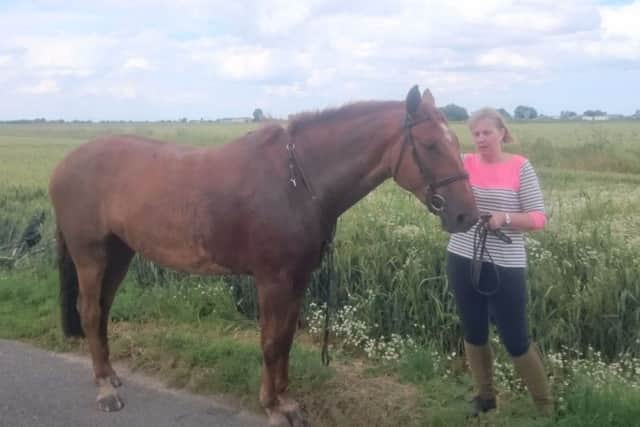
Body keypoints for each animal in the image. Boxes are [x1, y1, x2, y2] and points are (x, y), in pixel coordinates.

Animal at [49, 85, 478, 426]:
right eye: (430, 145)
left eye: (457, 143)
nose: (466, 215)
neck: (297, 181)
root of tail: (63, 165)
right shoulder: (273, 280)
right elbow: (272, 341)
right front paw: (273, 406)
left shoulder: (296, 279)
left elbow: (285, 339)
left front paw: (284, 399)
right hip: (90, 255)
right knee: (90, 312)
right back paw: (105, 390)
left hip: (119, 253)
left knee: (102, 311)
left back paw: (110, 374)